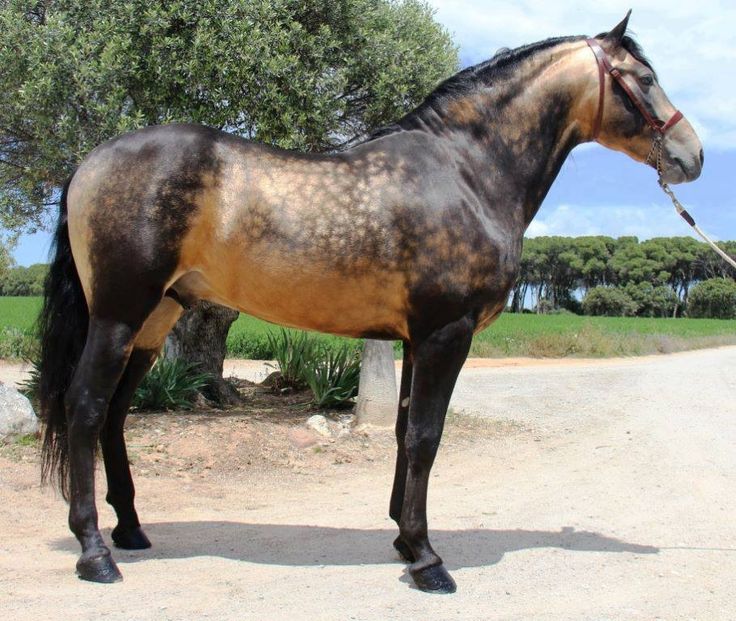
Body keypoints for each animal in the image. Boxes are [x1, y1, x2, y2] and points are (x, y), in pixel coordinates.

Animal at [38, 14, 700, 592]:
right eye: (642, 77)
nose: (693, 156)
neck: (466, 171)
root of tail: (91, 162)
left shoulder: (417, 339)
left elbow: (406, 431)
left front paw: (406, 542)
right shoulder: (445, 334)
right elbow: (426, 436)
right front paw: (428, 561)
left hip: (154, 322)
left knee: (116, 413)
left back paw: (130, 530)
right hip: (118, 316)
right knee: (86, 407)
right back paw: (95, 553)